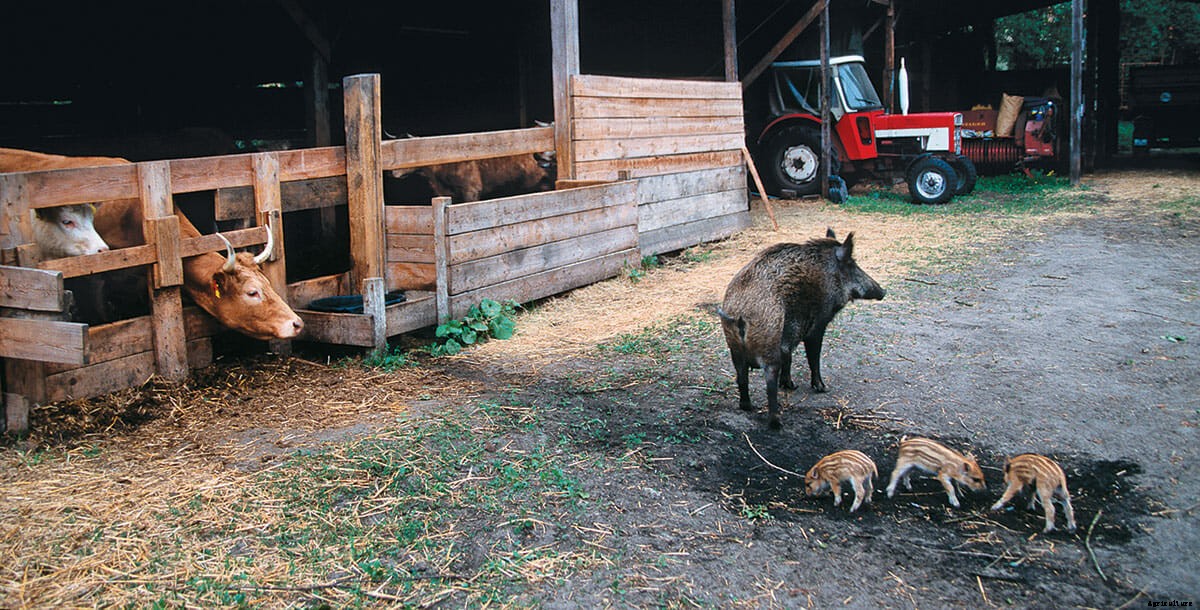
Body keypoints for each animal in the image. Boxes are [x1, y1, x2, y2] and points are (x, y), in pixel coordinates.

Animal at [717, 229, 885, 428]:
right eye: (852, 264)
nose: (883, 292)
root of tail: (740, 315)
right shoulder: (817, 325)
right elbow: (813, 357)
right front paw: (822, 388)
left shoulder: (789, 333)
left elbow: (788, 355)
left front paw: (791, 386)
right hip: (768, 342)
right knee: (770, 382)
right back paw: (776, 423)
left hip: (734, 348)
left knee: (741, 378)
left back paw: (748, 407)